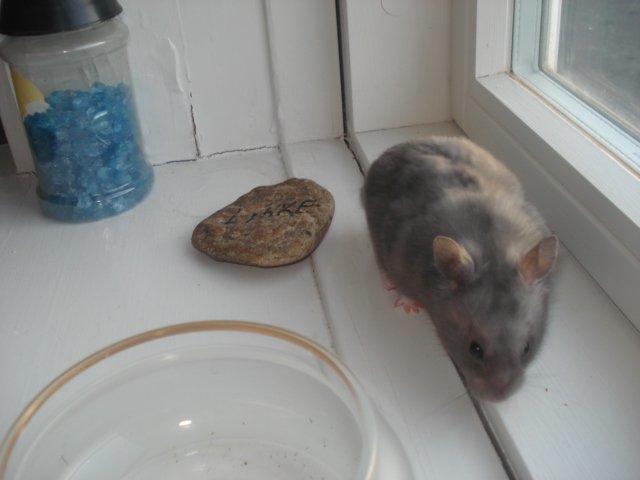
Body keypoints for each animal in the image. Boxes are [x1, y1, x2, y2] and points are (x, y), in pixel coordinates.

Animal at [362, 137, 558, 401]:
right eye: (474, 349)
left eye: (526, 348)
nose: (500, 397)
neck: (492, 249)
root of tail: (405, 143)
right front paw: (409, 307)